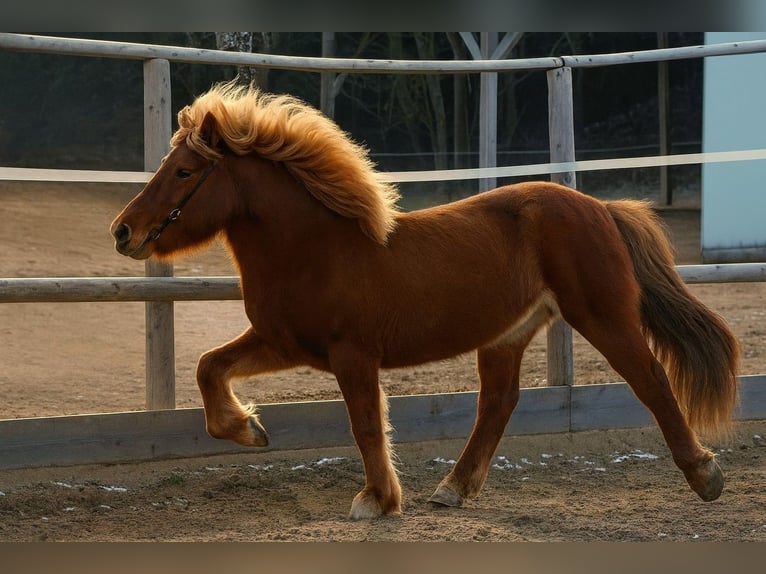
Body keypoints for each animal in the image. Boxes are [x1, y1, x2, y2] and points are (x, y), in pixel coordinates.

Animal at [111, 82, 740, 520]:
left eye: (184, 171)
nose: (123, 231)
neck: (315, 248)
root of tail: (601, 208)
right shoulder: (283, 342)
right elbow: (208, 366)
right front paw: (250, 430)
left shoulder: (352, 355)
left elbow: (366, 423)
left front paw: (376, 499)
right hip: (507, 335)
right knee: (498, 404)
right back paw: (452, 490)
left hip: (602, 316)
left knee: (652, 380)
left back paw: (705, 477)